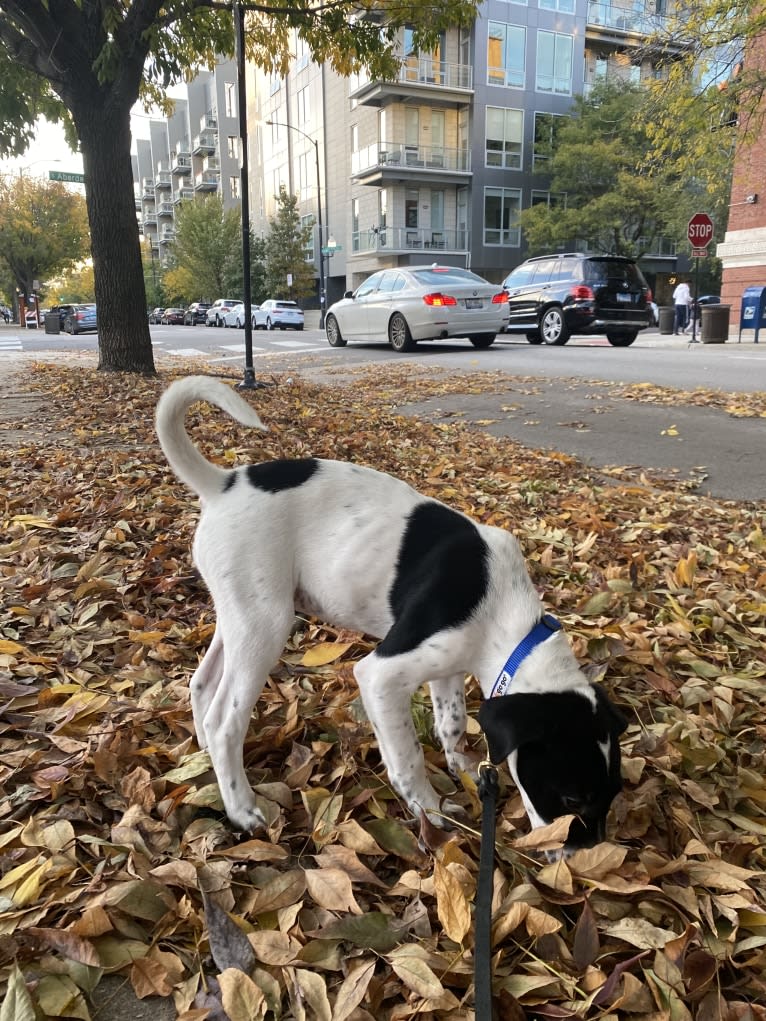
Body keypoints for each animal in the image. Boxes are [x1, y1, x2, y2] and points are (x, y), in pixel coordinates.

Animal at [156, 375, 629, 853]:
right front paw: (432, 810)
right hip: (266, 626)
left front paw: (459, 764)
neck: (509, 621)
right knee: (224, 722)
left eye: (613, 794)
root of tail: (224, 484)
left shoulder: (447, 667)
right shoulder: (381, 675)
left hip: (242, 614)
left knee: (202, 682)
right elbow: (407, 756)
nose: (585, 856)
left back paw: (204, 757)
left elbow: (452, 721)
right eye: (571, 796)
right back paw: (241, 807)